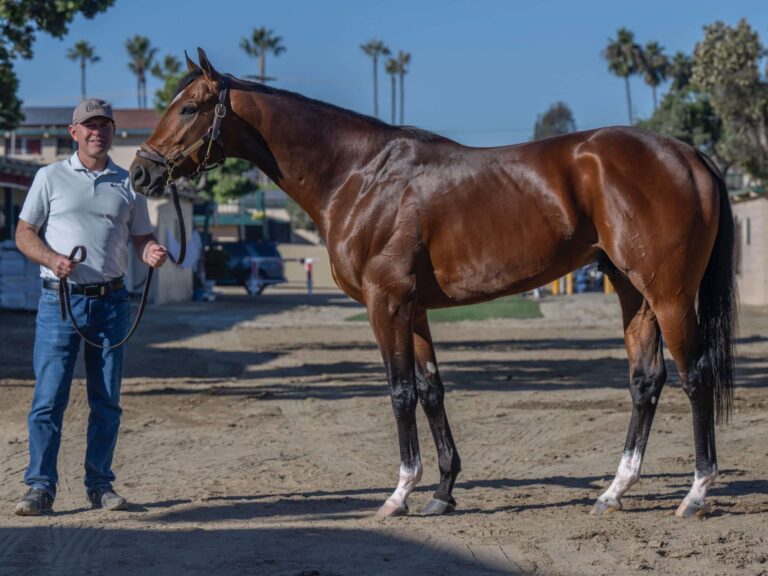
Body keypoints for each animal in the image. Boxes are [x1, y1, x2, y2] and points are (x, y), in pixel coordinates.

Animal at [130, 49, 737, 519]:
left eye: (188, 107)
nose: (141, 173)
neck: (359, 175)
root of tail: (689, 155)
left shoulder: (386, 305)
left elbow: (399, 392)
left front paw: (398, 495)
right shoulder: (413, 308)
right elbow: (430, 390)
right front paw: (443, 491)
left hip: (669, 294)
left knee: (696, 375)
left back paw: (695, 494)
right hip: (634, 293)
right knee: (646, 381)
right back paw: (614, 491)